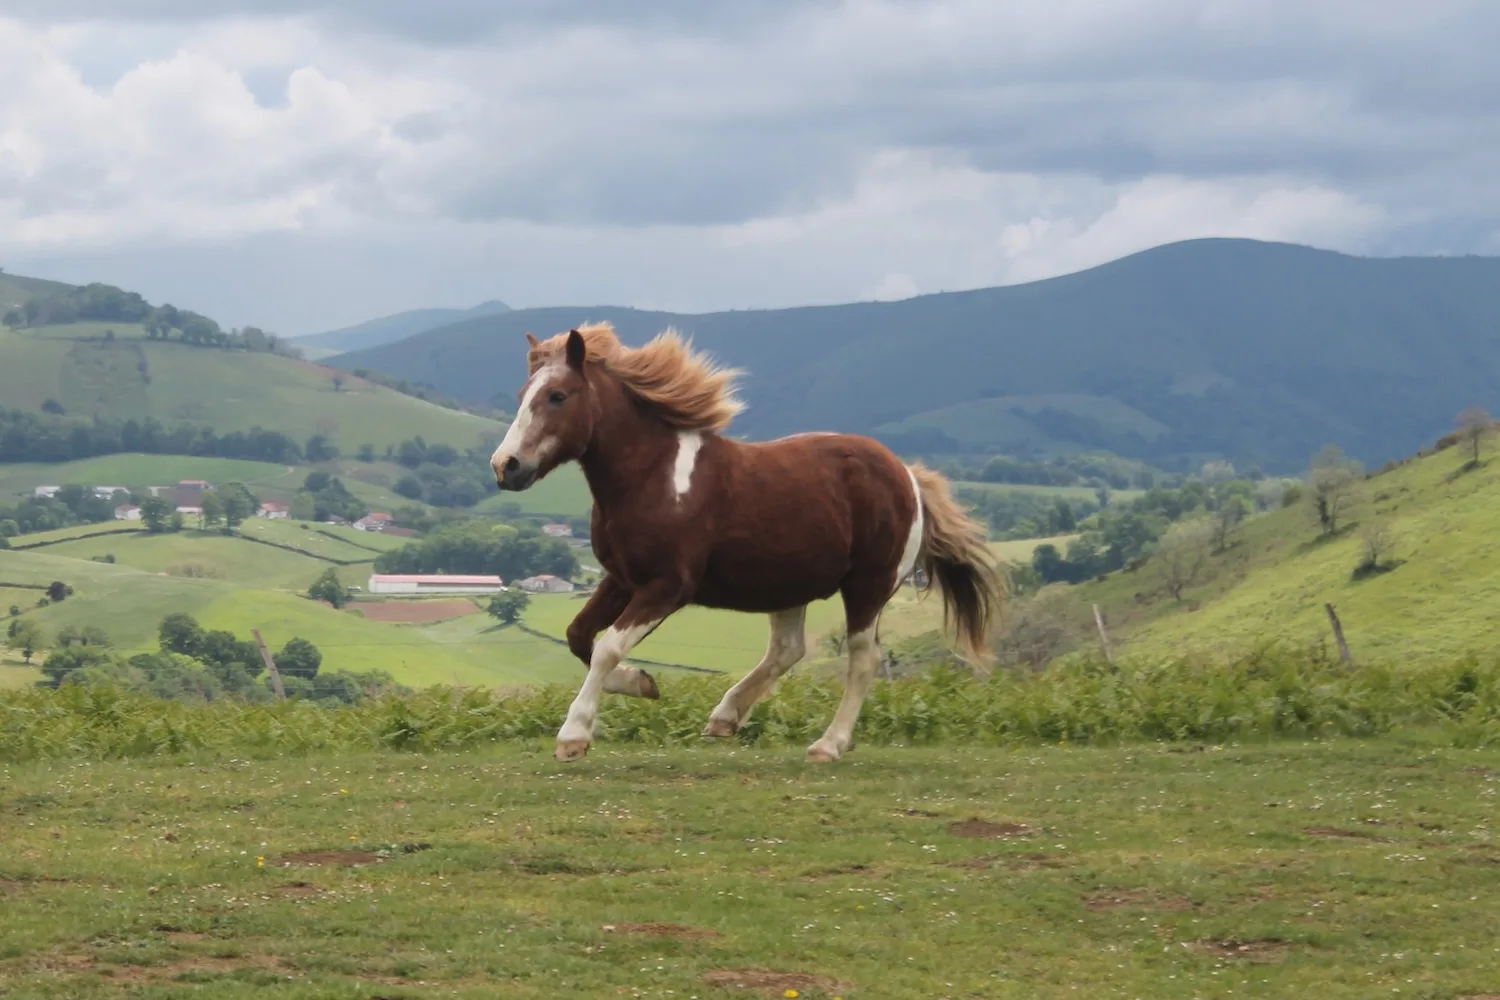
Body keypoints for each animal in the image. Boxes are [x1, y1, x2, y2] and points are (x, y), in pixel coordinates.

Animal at [489, 321, 1005, 763]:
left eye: (558, 396)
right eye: (522, 394)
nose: (505, 465)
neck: (651, 477)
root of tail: (909, 477)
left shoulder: (667, 587)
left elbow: (607, 647)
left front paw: (574, 736)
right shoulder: (620, 579)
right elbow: (579, 636)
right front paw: (644, 683)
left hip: (868, 587)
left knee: (862, 660)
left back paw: (827, 745)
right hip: (791, 583)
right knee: (788, 650)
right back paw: (726, 717)